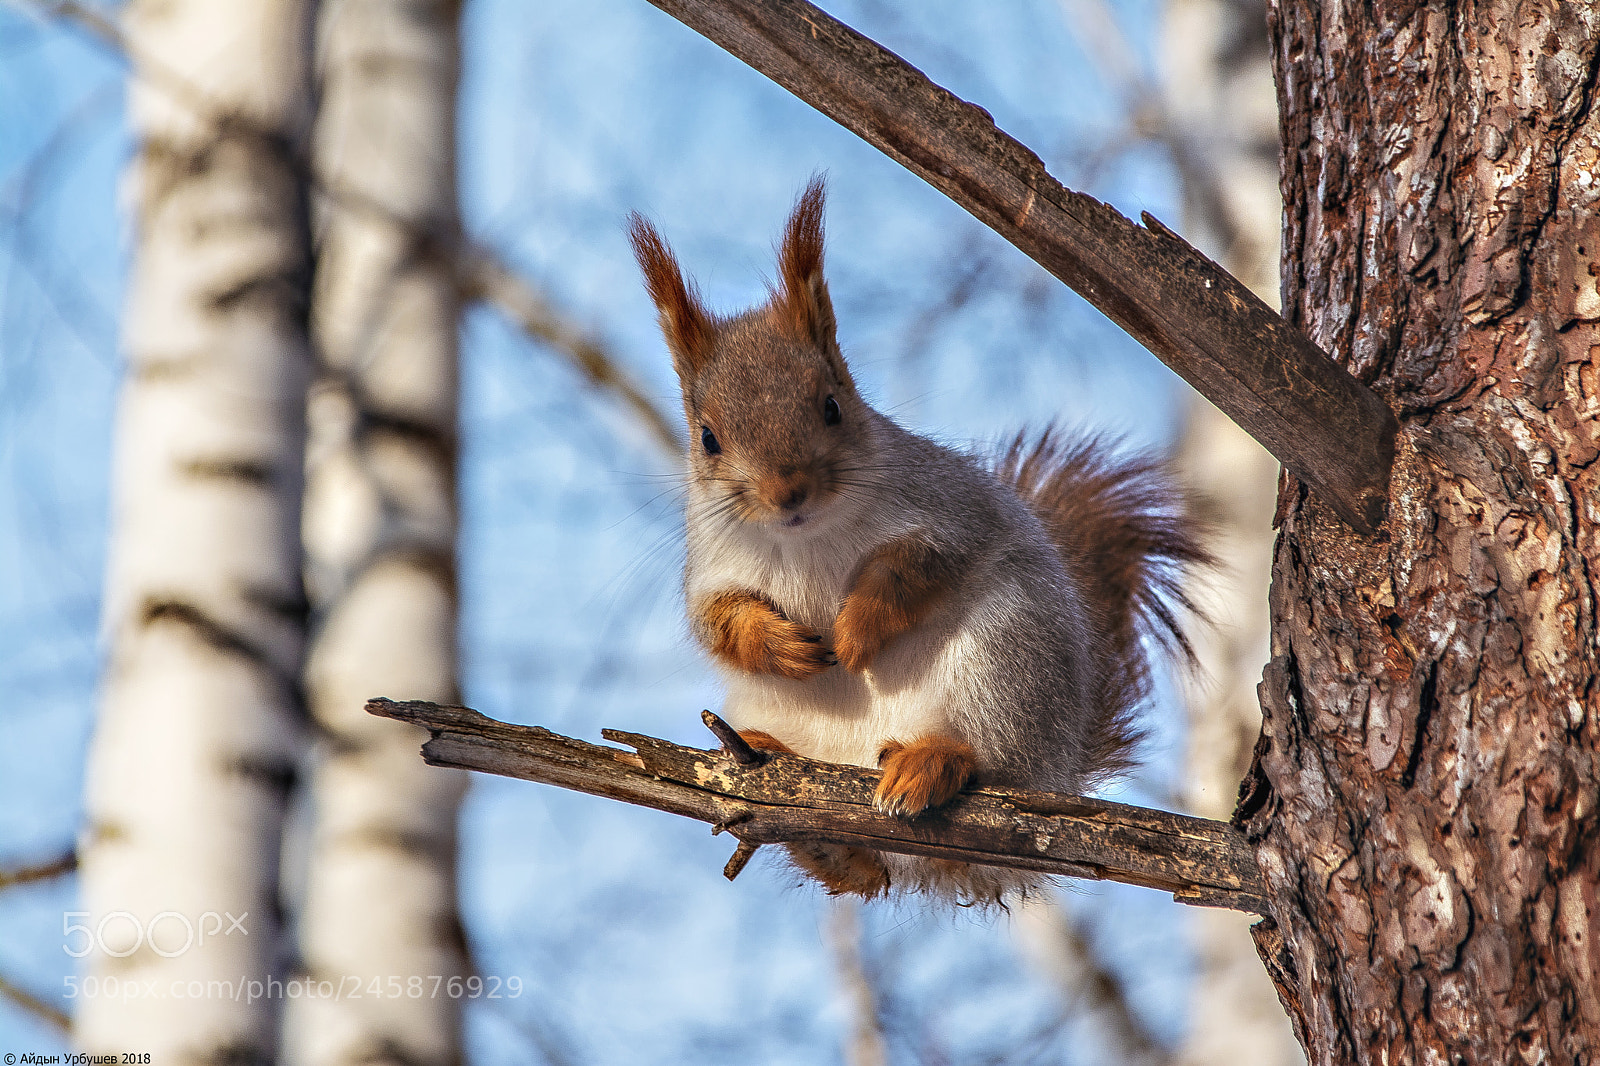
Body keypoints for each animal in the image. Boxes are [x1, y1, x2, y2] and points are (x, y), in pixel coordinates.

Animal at [628, 178, 1207, 904]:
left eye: (832, 406)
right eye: (707, 437)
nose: (788, 492)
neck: (808, 535)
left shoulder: (949, 510)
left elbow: (917, 569)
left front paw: (854, 634)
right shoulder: (712, 564)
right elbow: (718, 622)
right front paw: (782, 645)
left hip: (1007, 662)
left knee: (994, 768)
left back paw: (929, 762)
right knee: (862, 874)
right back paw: (781, 783)